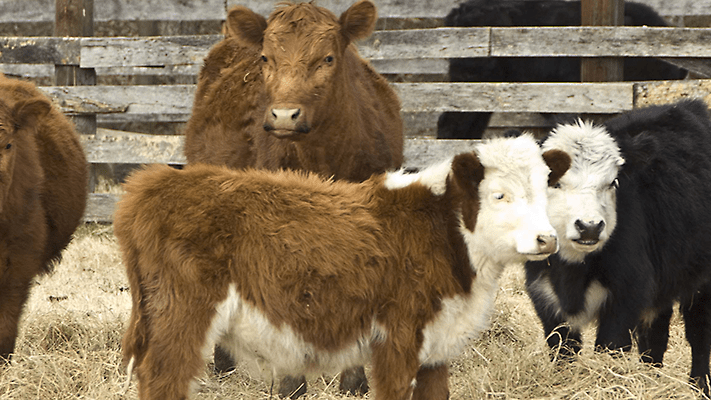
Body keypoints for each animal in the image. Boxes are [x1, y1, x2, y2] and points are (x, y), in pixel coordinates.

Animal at [115, 134, 572, 400]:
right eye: (499, 195)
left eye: (546, 188)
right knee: (164, 381)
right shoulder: (397, 341)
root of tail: (157, 183)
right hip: (181, 319)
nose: (546, 239)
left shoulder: (436, 349)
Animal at [524, 99, 711, 394]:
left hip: (701, 281)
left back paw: (698, 387)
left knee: (699, 334)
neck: (573, 273)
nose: (589, 226)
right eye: (553, 181)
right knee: (655, 339)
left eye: (613, 182)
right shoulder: (545, 297)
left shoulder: (626, 294)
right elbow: (563, 351)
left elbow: (610, 348)